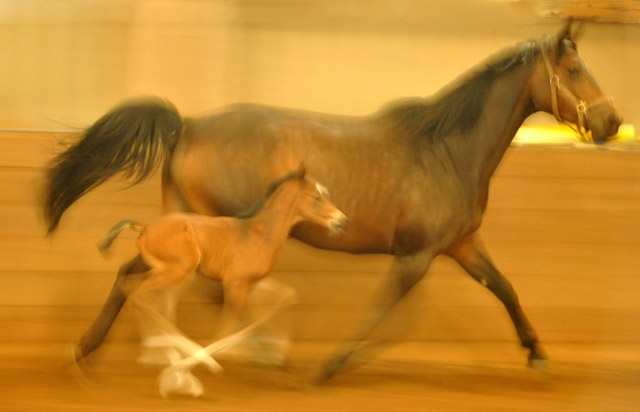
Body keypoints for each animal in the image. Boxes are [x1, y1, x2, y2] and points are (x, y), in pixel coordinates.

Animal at [99, 166, 344, 398]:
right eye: (316, 197)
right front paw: (198, 368)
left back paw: (166, 358)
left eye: (326, 194)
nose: (341, 222)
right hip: (178, 272)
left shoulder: (252, 283)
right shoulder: (235, 284)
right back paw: (176, 364)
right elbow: (224, 332)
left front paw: (278, 348)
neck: (260, 234)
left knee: (155, 303)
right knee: (138, 292)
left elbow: (286, 297)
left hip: (175, 274)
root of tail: (145, 227)